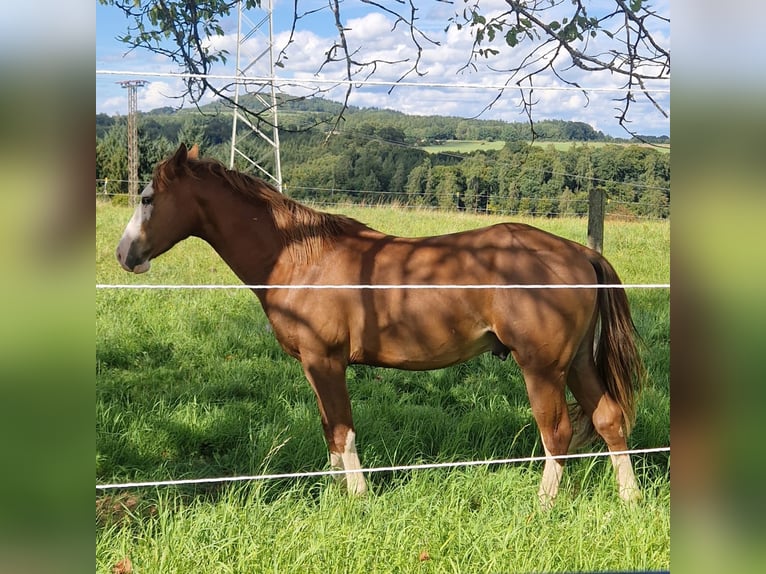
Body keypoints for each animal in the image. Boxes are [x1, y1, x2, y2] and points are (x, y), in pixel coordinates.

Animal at [116, 143, 644, 504]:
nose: (125, 256)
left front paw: (357, 498)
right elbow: (329, 432)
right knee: (608, 419)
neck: (299, 257)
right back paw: (629, 499)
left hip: (541, 369)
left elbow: (343, 431)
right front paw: (332, 495)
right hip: (576, 364)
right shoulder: (314, 367)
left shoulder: (326, 363)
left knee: (557, 435)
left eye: (147, 197)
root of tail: (580, 253)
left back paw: (543, 504)